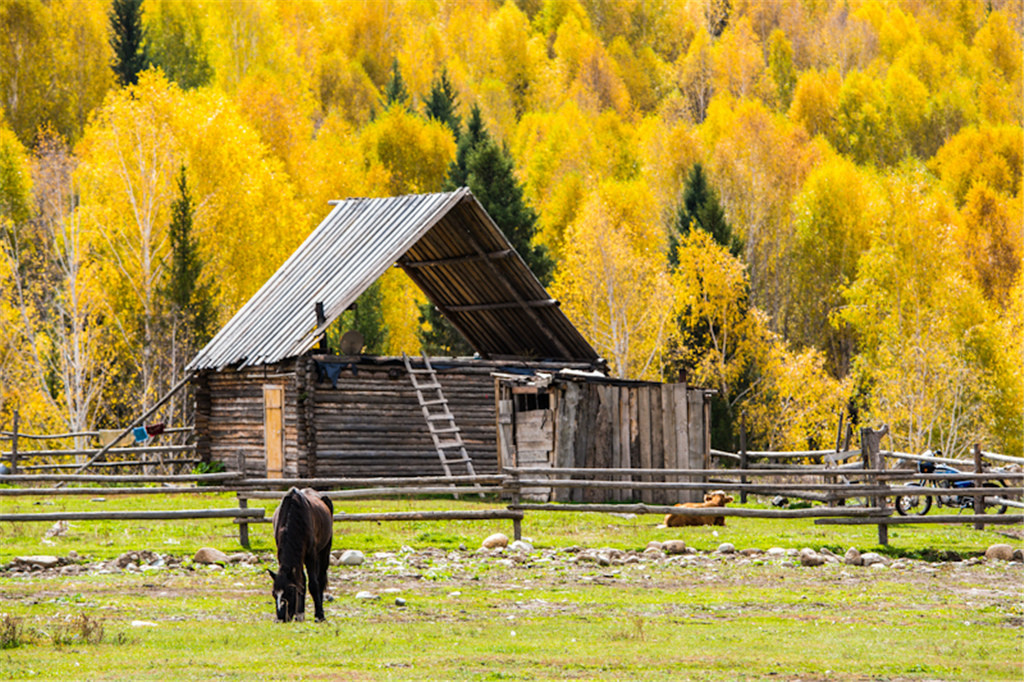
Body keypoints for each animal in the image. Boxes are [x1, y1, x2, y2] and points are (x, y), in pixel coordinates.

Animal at [266, 483, 333, 622]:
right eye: (274, 593)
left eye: (290, 591)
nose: (282, 617)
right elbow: (301, 581)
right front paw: (300, 613)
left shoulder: (310, 555)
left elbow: (313, 583)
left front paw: (319, 614)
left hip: (325, 550)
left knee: (320, 578)